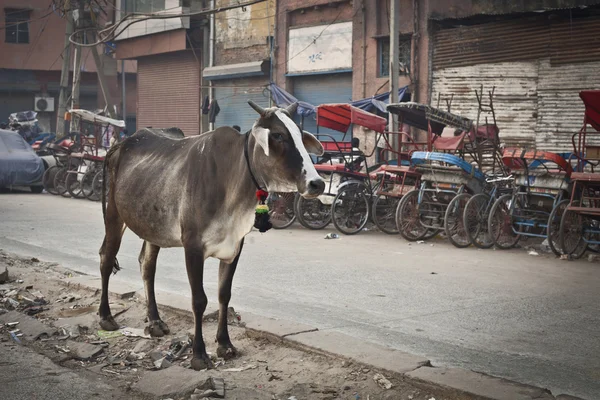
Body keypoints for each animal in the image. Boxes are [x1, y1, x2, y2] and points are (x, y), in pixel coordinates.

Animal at [98, 101, 326, 370]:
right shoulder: (193, 247)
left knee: (147, 265)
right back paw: (106, 317)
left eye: (300, 135)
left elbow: (223, 295)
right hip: (114, 214)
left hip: (152, 226)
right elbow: (199, 300)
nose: (317, 183)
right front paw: (199, 354)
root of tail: (120, 144)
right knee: (106, 258)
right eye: (278, 135)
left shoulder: (235, 245)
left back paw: (154, 321)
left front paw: (225, 344)